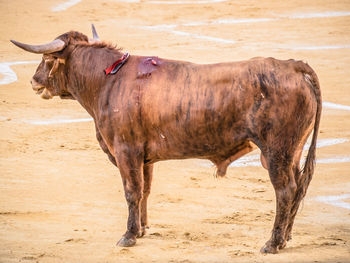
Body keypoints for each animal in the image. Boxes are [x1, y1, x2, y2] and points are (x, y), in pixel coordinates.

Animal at [10, 25, 322, 255]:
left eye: (47, 60)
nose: (34, 81)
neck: (108, 81)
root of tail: (294, 66)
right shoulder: (144, 156)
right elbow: (145, 190)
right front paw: (142, 229)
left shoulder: (125, 151)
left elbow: (131, 191)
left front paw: (128, 235)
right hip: (292, 151)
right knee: (298, 187)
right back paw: (285, 237)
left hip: (276, 151)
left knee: (285, 190)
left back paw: (272, 243)